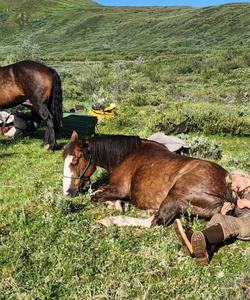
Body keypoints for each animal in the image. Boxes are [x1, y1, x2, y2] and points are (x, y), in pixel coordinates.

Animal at [63, 132, 229, 226]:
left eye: (75, 160)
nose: (67, 192)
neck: (128, 153)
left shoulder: (119, 189)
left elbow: (94, 196)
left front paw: (114, 204)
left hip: (176, 195)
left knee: (155, 222)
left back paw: (113, 220)